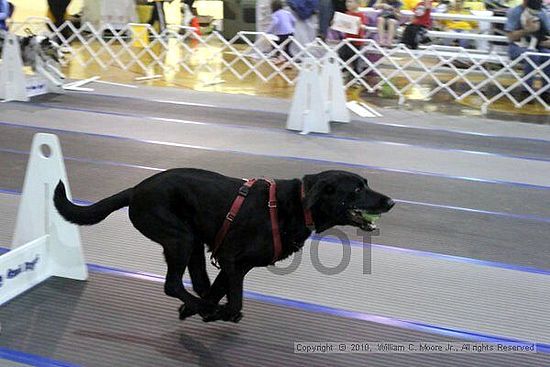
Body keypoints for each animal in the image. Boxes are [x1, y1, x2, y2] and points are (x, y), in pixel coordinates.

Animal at [54, 169, 394, 322]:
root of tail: (136, 189)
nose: (391, 201)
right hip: (180, 238)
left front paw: (200, 310)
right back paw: (201, 306)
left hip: (192, 240)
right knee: (172, 284)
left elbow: (223, 291)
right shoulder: (232, 259)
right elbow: (234, 303)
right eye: (357, 189)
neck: (298, 205)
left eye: (366, 184)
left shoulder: (235, 265)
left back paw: (197, 304)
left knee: (196, 280)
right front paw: (213, 312)